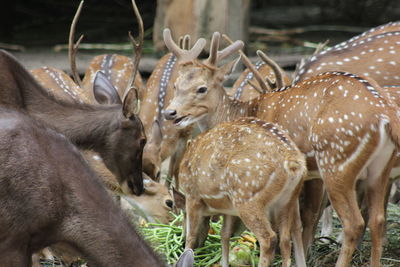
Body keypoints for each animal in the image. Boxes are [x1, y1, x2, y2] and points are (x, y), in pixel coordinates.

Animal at [180, 118, 308, 266]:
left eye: (183, 213)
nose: (180, 241)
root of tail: (293, 163)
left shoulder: (192, 195)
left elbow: (191, 235)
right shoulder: (229, 208)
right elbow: (224, 234)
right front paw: (224, 263)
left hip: (247, 198)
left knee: (268, 238)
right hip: (287, 201)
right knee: (286, 239)